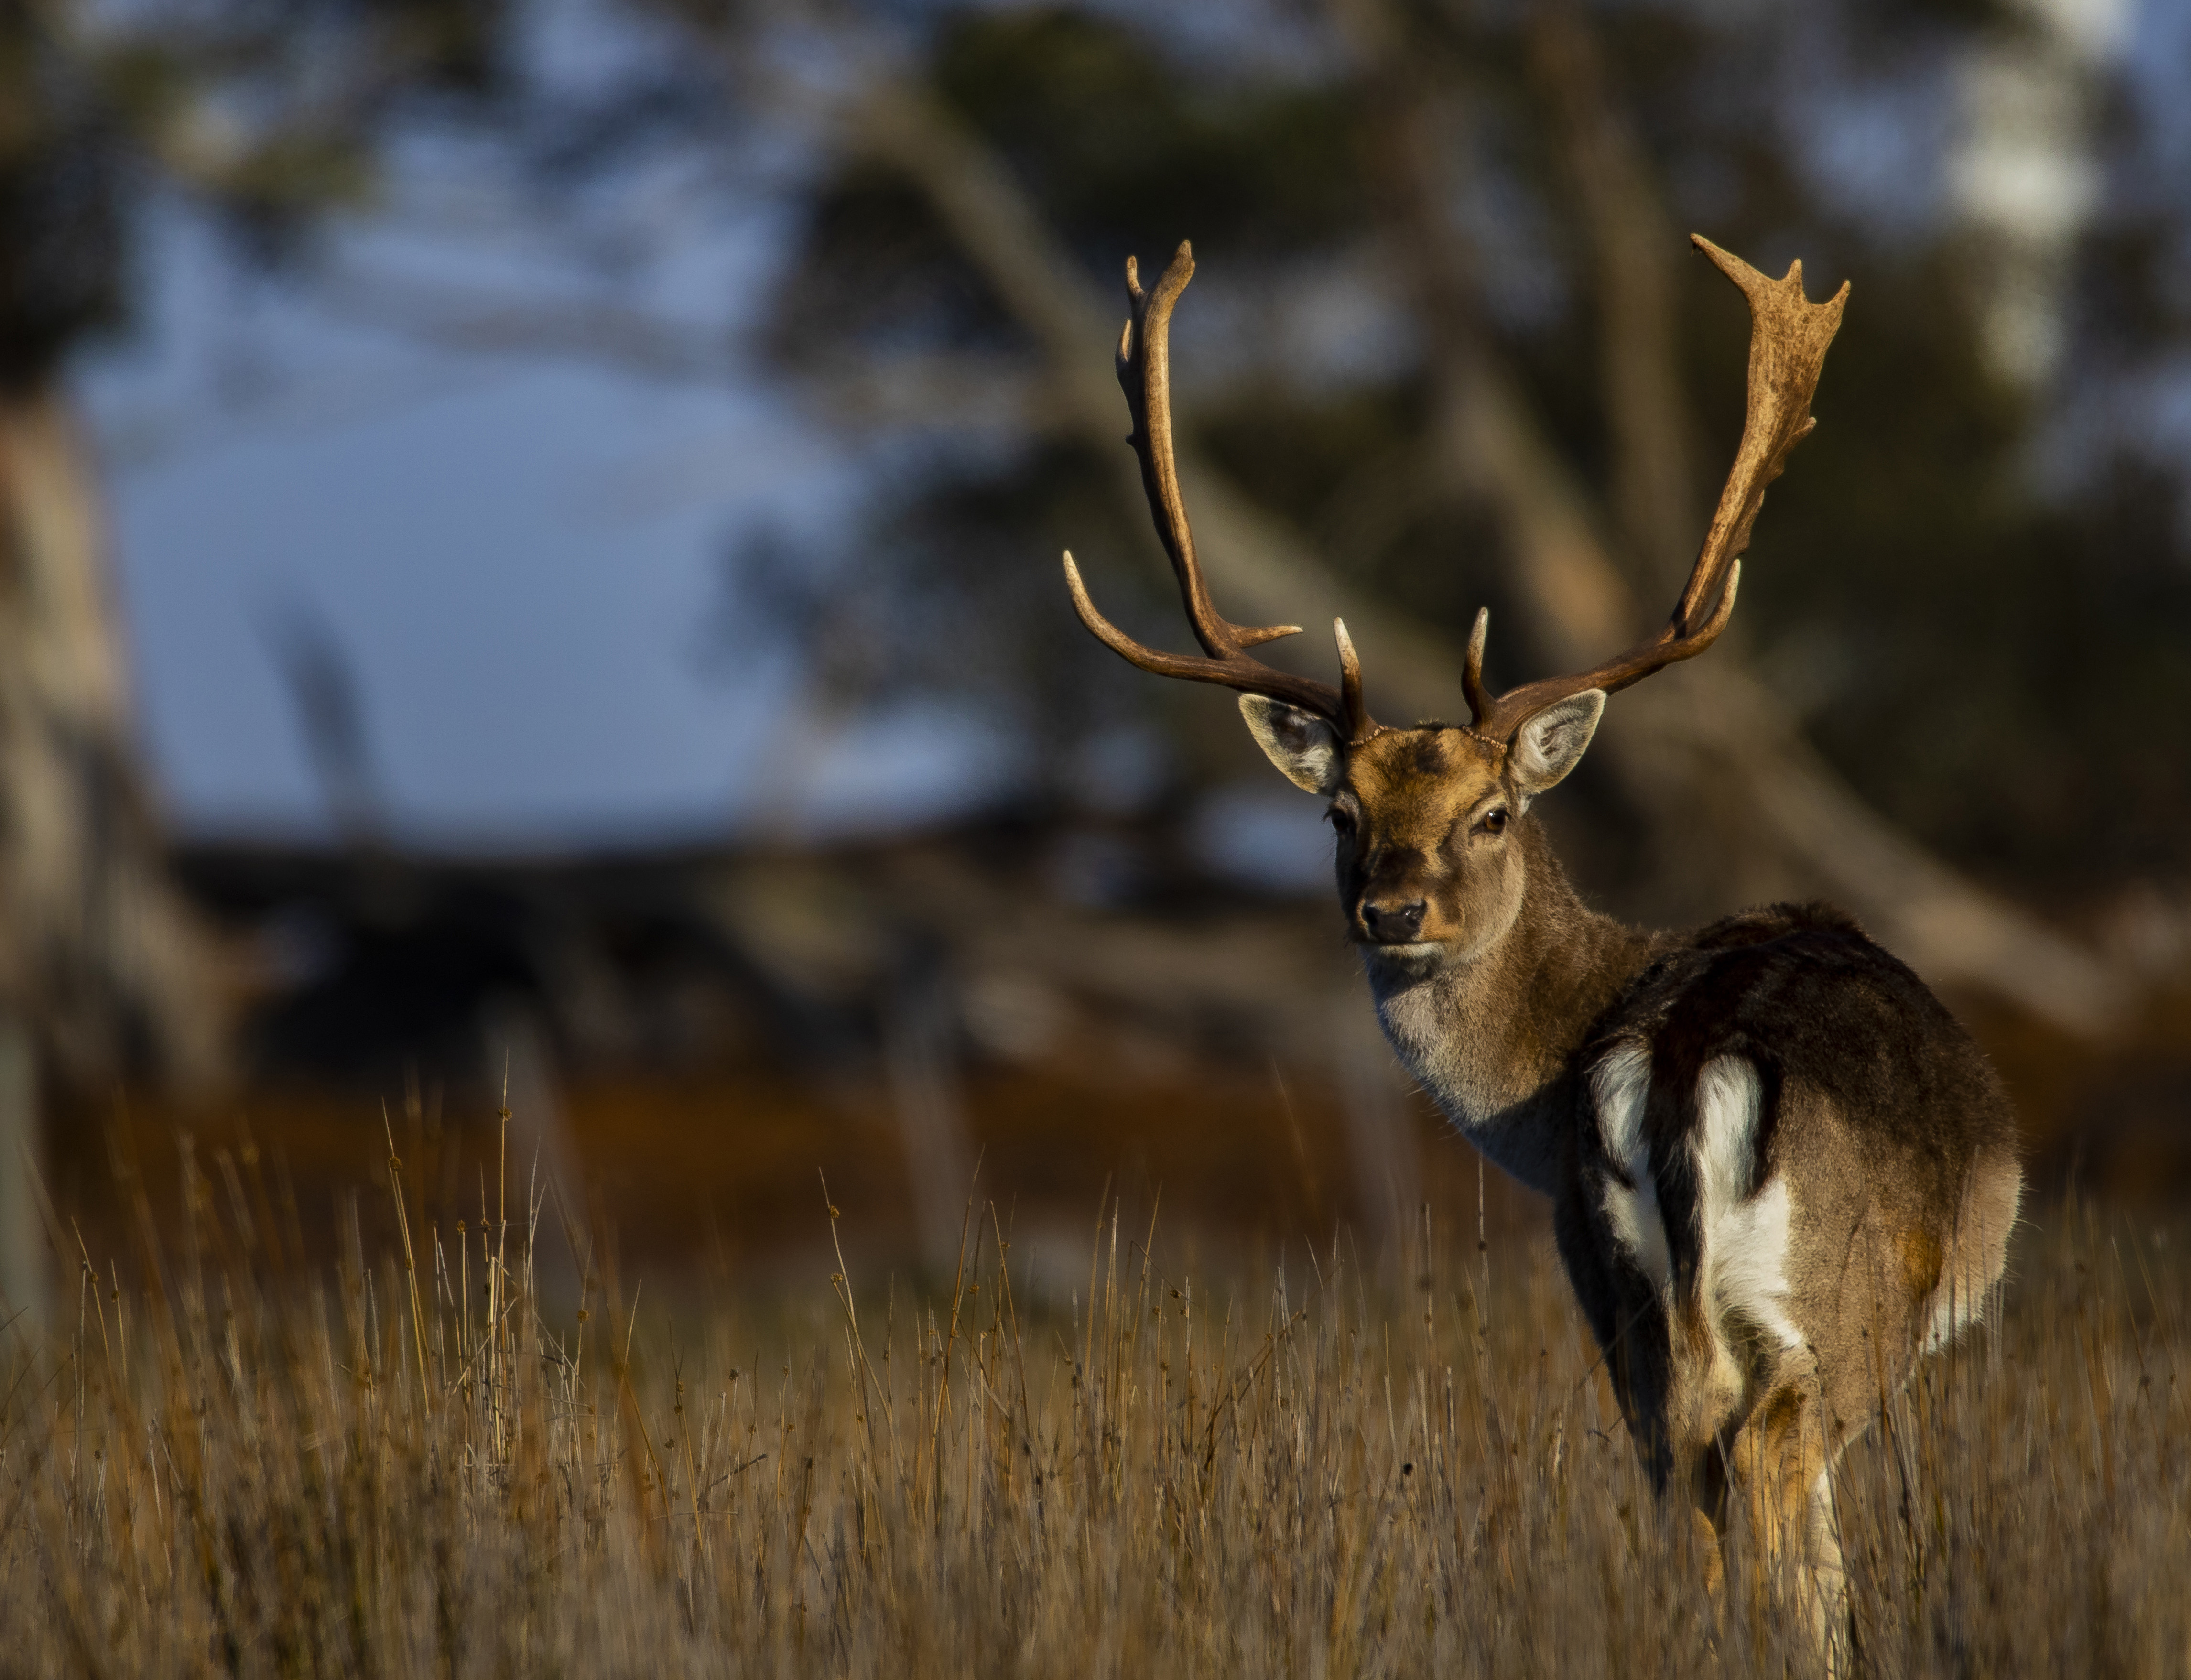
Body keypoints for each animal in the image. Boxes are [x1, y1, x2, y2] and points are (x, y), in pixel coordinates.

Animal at [1058, 238, 2021, 1659]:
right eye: (1342, 815)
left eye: (1489, 812)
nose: (1389, 911)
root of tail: (1674, 1067)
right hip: (1837, 1298)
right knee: (1767, 1462)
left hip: (1623, 1289)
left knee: (1683, 1481)